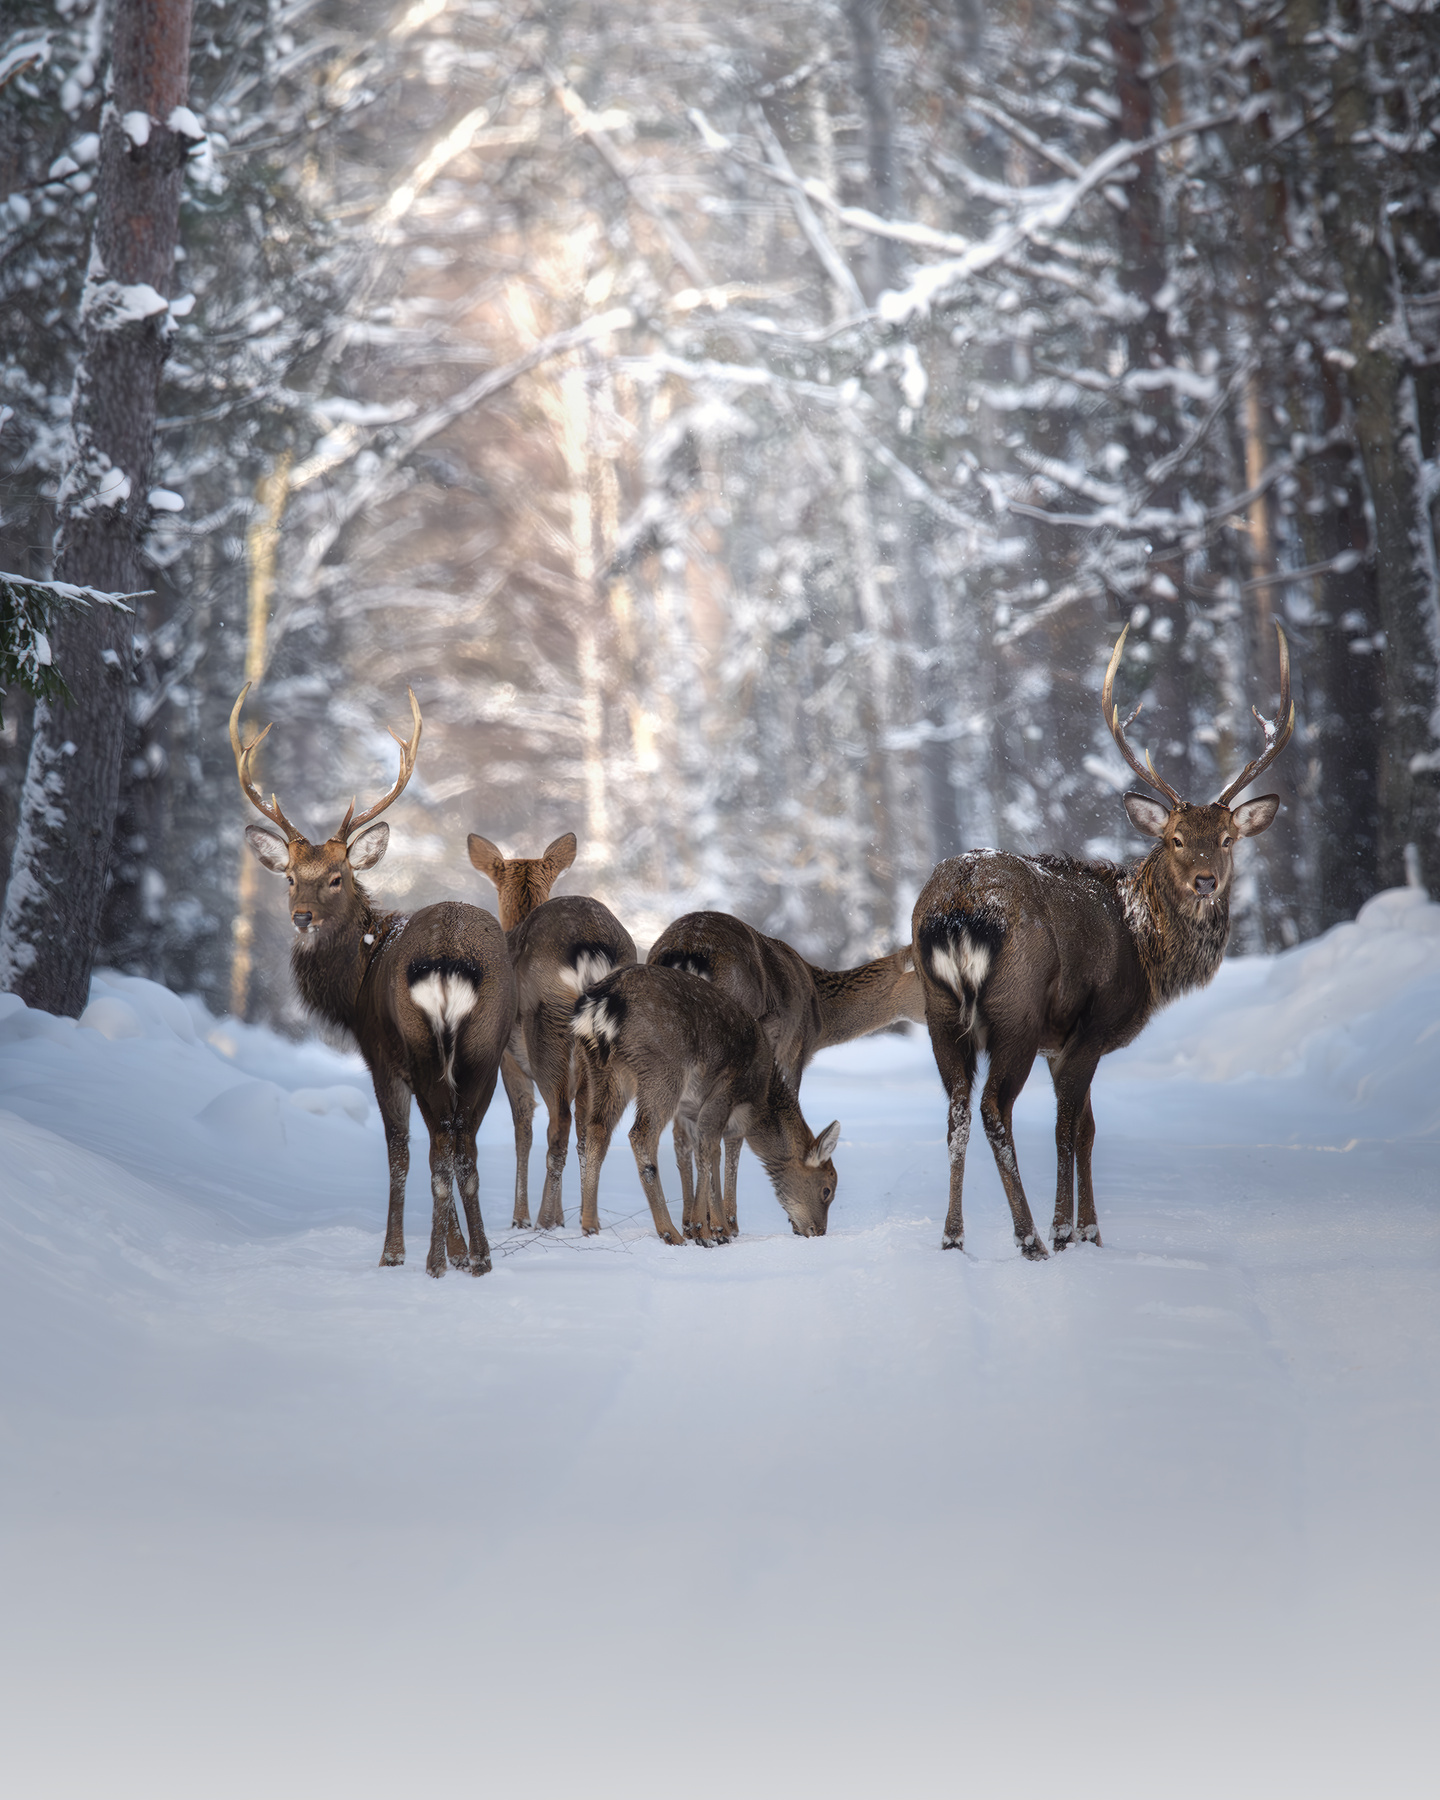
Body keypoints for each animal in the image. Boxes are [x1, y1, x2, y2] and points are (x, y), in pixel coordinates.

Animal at [231, 686, 516, 1279]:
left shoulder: (382, 1056)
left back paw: (432, 1261)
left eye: (337, 877)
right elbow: (443, 1148)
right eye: (289, 877)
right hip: (486, 1045)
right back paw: (480, 1259)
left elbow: (400, 1153)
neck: (354, 985)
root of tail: (451, 960)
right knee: (464, 1144)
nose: (301, 916)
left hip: (420, 1043)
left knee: (438, 1145)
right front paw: (461, 1251)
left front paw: (394, 1253)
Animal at [467, 831, 635, 1230]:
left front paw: (521, 1219)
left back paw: (544, 1221)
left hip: (546, 1022)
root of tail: (591, 947)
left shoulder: (507, 1060)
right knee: (593, 1127)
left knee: (558, 1124)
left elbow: (522, 1129)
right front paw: (559, 1216)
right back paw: (589, 1223)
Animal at [571, 963, 842, 1245]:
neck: (762, 1094)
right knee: (641, 1134)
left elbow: (707, 1151)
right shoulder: (726, 1093)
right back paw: (670, 1232)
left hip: (603, 1069)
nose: (818, 1230)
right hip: (663, 1070)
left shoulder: (691, 1109)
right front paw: (712, 1229)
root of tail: (601, 1005)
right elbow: (713, 1148)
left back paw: (590, 1225)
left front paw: (709, 1228)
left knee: (596, 1130)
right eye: (827, 1189)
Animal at [647, 912, 923, 1235]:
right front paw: (734, 1221)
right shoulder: (792, 1055)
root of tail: (687, 951)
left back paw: (689, 1224)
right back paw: (720, 1224)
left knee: (680, 1132)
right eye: (923, 975)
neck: (820, 1017)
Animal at [912, 622, 1295, 1260]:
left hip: (939, 1011)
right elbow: (1069, 1129)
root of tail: (957, 907)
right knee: (993, 1107)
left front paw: (1092, 1229)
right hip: (1015, 1009)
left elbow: (1088, 1129)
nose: (1206, 881)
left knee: (957, 1110)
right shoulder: (1088, 1028)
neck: (1146, 949)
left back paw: (952, 1236)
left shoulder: (1059, 1044)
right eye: (1174, 838)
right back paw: (1029, 1238)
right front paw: (1067, 1230)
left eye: (1226, 839)